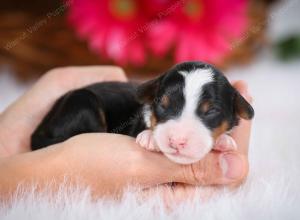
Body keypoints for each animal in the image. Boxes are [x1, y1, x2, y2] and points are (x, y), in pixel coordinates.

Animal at [31, 61, 254, 164]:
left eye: (212, 111)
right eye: (162, 105)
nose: (176, 141)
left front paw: (223, 141)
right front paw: (149, 138)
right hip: (83, 101)